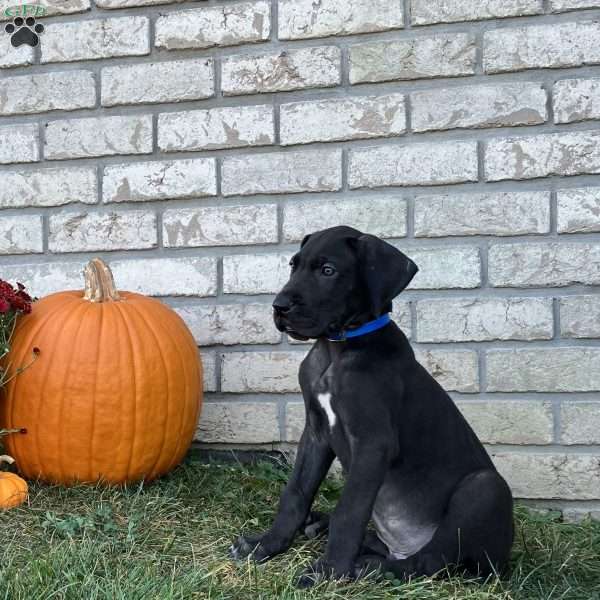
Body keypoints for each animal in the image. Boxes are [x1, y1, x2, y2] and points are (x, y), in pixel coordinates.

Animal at [232, 227, 512, 588]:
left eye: (328, 271)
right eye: (293, 265)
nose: (279, 306)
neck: (338, 348)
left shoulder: (373, 444)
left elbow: (349, 511)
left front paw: (329, 571)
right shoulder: (315, 433)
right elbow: (295, 493)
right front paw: (265, 545)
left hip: (485, 489)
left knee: (430, 561)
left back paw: (366, 567)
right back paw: (321, 527)